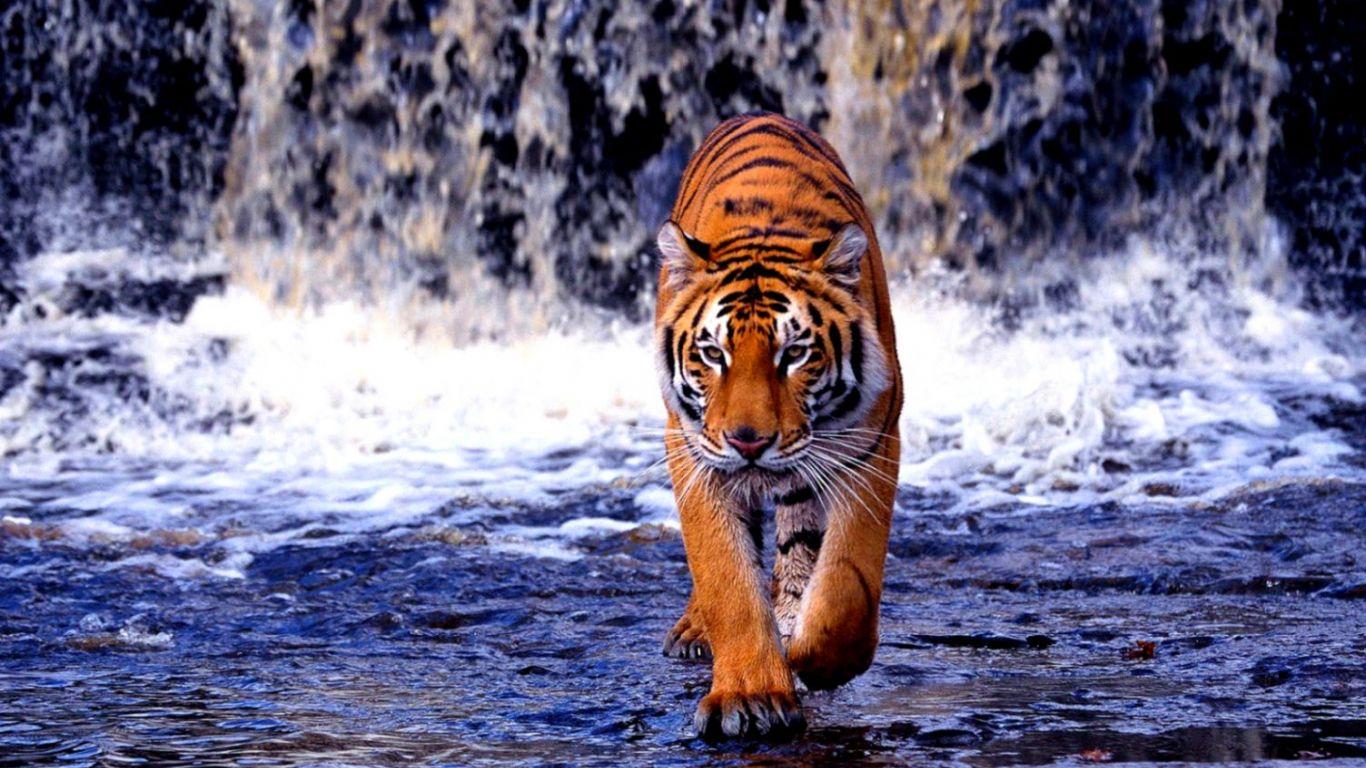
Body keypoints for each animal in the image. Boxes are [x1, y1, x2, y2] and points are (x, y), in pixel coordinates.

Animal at [653, 111, 903, 738]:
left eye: (794, 354)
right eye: (712, 353)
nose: (749, 442)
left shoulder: (870, 444)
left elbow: (847, 583)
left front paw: (816, 658)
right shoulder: (694, 452)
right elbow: (726, 576)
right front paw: (750, 695)